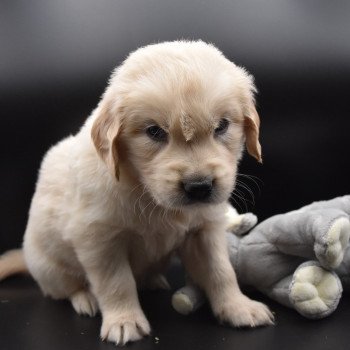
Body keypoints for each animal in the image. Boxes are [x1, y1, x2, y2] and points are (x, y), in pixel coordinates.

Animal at [0, 40, 274, 344]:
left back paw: (153, 280)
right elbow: (116, 282)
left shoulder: (204, 230)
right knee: (65, 287)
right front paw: (124, 321)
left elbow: (221, 271)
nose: (199, 187)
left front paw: (239, 307)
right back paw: (85, 298)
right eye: (154, 132)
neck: (146, 191)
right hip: (49, 266)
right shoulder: (99, 240)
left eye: (222, 126)